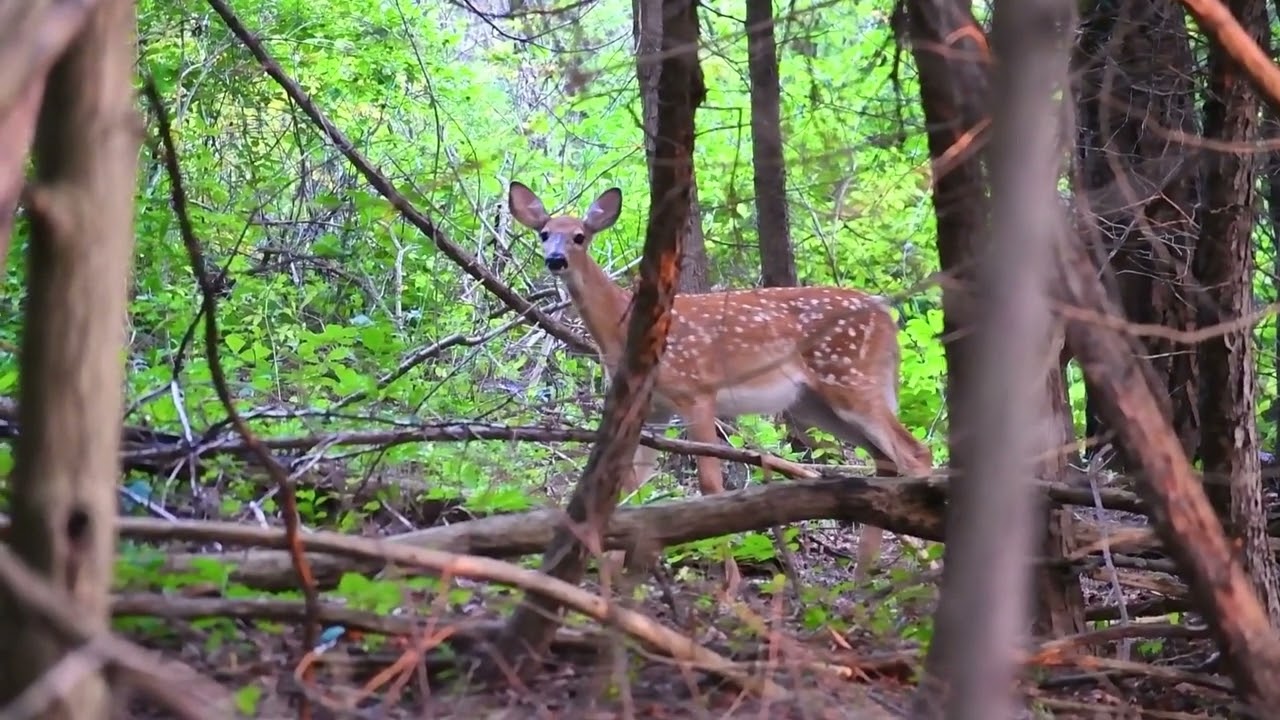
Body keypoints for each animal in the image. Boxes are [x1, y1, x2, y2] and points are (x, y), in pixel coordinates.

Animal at [508, 180, 934, 590]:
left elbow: (710, 485)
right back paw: (862, 580)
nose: (555, 259)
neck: (624, 329)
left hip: (851, 379)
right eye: (544, 233)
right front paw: (608, 578)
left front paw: (729, 585)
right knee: (884, 462)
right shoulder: (653, 408)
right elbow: (631, 485)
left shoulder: (696, 390)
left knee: (915, 453)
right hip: (816, 402)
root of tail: (888, 318)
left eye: (579, 236)